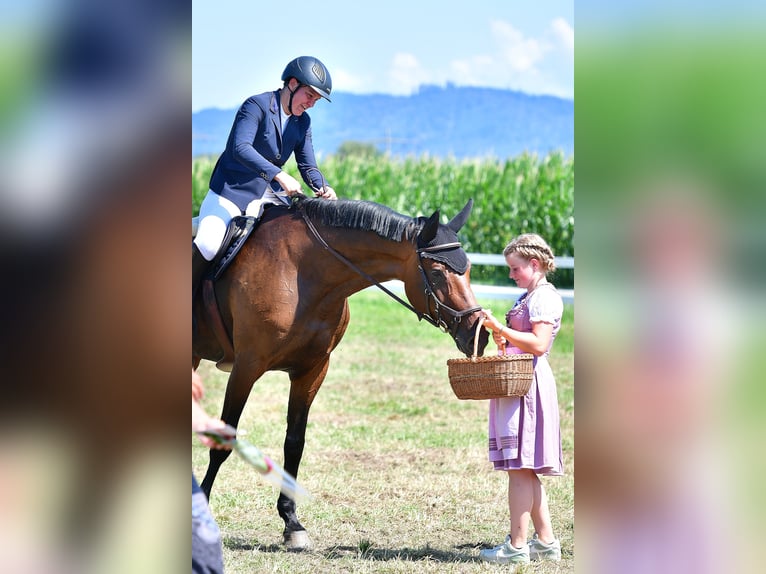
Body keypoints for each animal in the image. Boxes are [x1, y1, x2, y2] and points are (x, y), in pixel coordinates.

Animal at [195, 196, 488, 552]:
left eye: (469, 269)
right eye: (436, 272)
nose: (479, 335)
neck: (303, 274)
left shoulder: (312, 370)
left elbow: (294, 444)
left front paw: (292, 523)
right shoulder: (246, 367)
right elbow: (224, 439)